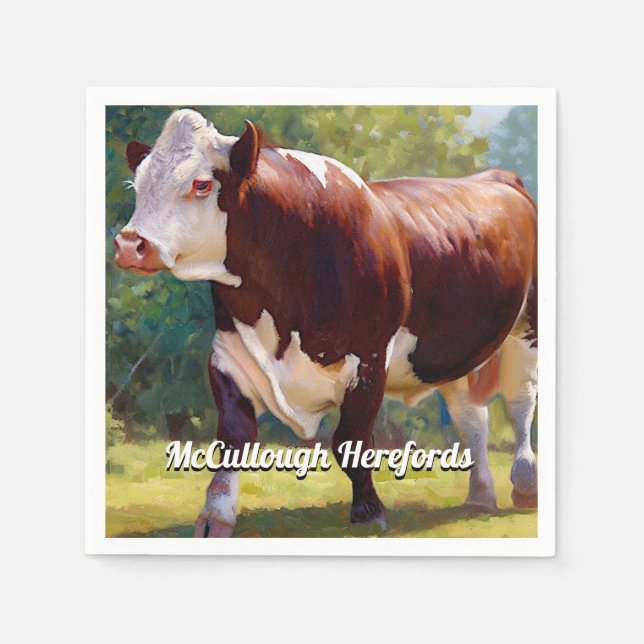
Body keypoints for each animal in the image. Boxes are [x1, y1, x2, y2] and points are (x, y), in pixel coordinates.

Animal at [114, 108, 538, 537]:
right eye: (139, 183)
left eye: (201, 184)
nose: (129, 244)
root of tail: (497, 177)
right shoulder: (231, 355)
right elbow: (234, 436)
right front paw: (214, 516)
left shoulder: (369, 357)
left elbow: (352, 441)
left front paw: (368, 512)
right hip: (452, 349)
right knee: (473, 419)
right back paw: (480, 496)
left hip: (526, 328)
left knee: (521, 402)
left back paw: (525, 485)